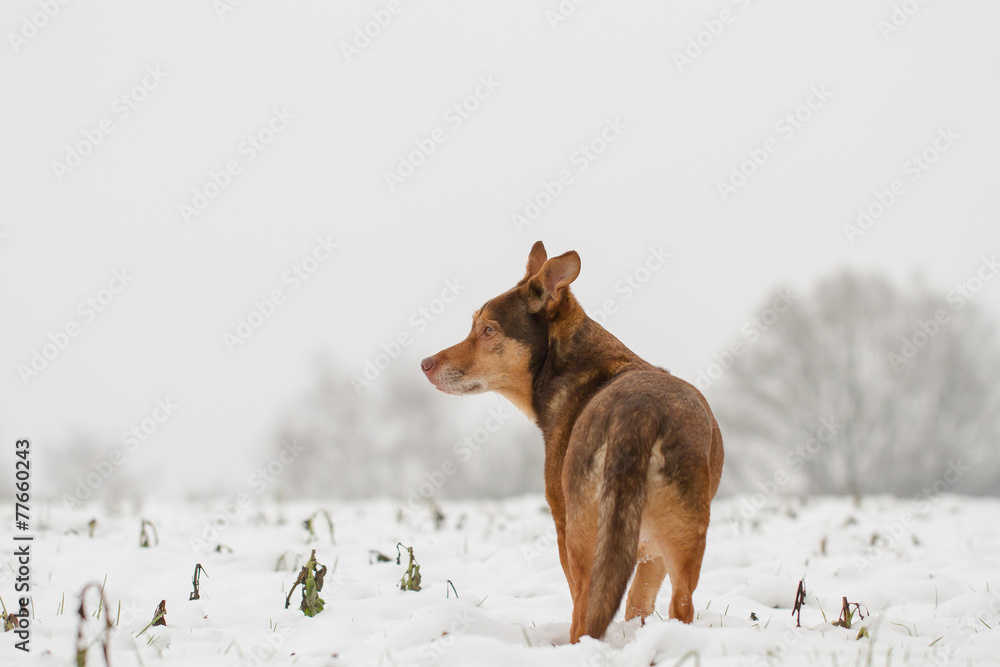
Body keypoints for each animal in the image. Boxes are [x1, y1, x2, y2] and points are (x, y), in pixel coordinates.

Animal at [418, 240, 724, 640]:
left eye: (487, 331)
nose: (425, 363)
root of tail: (639, 413)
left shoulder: (562, 520)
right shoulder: (651, 554)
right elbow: (638, 603)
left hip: (584, 537)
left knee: (583, 612)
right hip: (683, 535)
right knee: (681, 606)